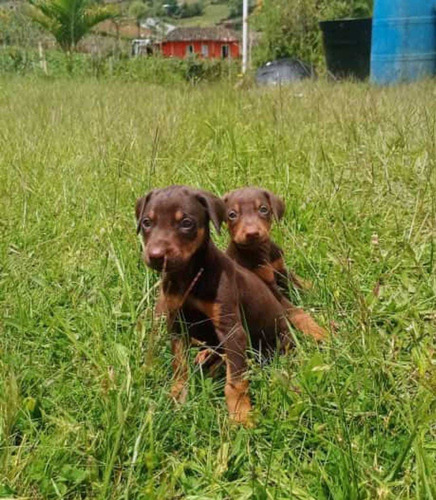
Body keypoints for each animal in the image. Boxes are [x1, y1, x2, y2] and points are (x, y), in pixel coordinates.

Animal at [135, 186, 292, 424]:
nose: (156, 256)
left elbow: (235, 382)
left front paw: (240, 416)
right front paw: (176, 396)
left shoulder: (231, 330)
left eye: (186, 223)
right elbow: (179, 367)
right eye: (146, 222)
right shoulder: (177, 325)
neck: (189, 277)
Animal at [223, 186, 326, 342]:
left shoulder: (280, 269)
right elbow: (295, 311)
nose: (252, 233)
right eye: (232, 214)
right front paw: (317, 331)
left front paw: (318, 289)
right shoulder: (268, 286)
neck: (262, 250)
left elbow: (300, 283)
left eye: (263, 209)